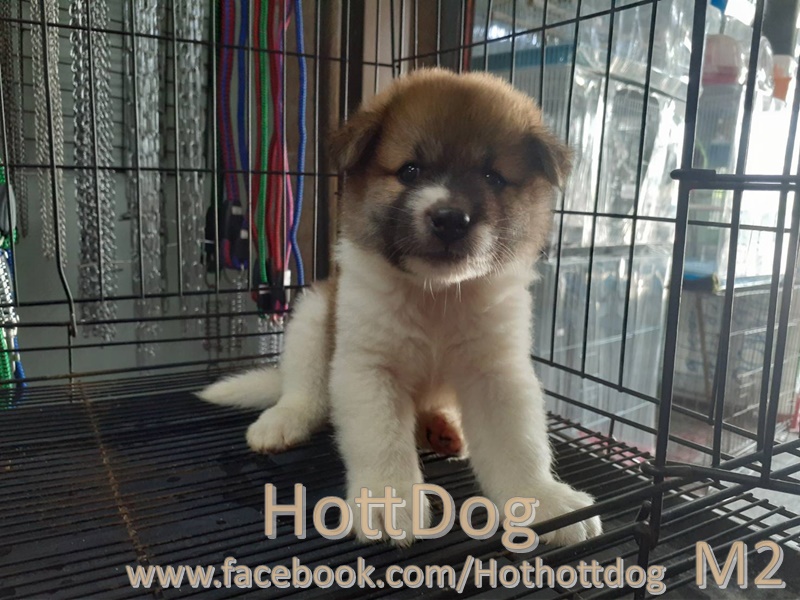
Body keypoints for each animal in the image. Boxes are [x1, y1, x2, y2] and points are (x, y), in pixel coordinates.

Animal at [199, 67, 602, 547]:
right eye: (410, 170)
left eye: (492, 177)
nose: (450, 218)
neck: (437, 296)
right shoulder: (369, 368)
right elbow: (382, 442)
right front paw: (389, 503)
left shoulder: (496, 372)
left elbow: (518, 446)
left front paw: (543, 499)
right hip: (312, 316)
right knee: (305, 390)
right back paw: (283, 420)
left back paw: (445, 430)